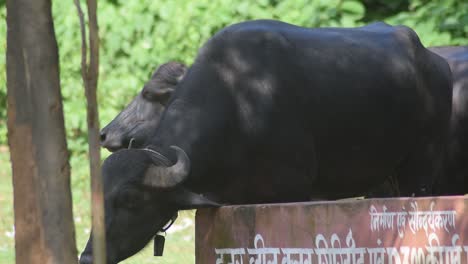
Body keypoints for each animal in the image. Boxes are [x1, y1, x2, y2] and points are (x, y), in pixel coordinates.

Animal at [80, 19, 454, 262]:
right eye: (100, 197)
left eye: (130, 199)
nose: (87, 256)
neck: (239, 99)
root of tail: (434, 62)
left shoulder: (295, 192)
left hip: (422, 168)